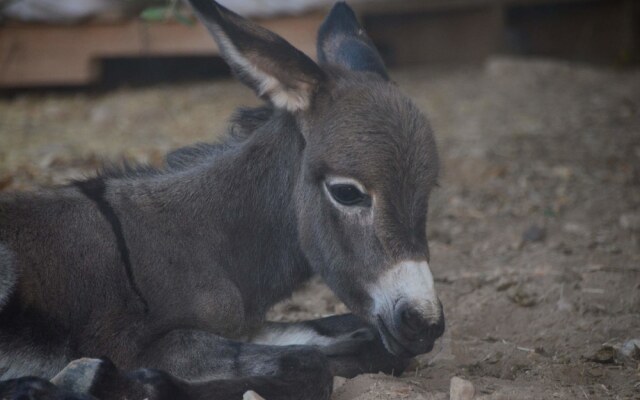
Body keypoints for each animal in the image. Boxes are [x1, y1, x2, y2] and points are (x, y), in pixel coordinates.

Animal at [0, 1, 442, 398]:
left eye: (430, 188)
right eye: (347, 192)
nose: (426, 323)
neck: (203, 242)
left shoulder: (246, 326)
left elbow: (363, 341)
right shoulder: (145, 344)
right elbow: (308, 364)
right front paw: (116, 383)